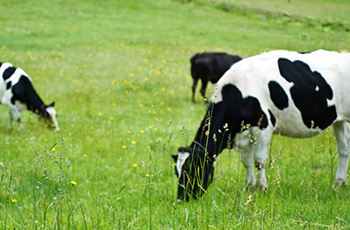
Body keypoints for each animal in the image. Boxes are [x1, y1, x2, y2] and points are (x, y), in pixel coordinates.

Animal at [172, 49, 350, 200]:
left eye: (192, 170)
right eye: (177, 172)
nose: (181, 199)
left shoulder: (264, 126)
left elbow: (259, 160)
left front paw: (261, 187)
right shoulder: (245, 132)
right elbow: (247, 162)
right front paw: (248, 187)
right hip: (340, 121)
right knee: (344, 149)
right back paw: (338, 184)